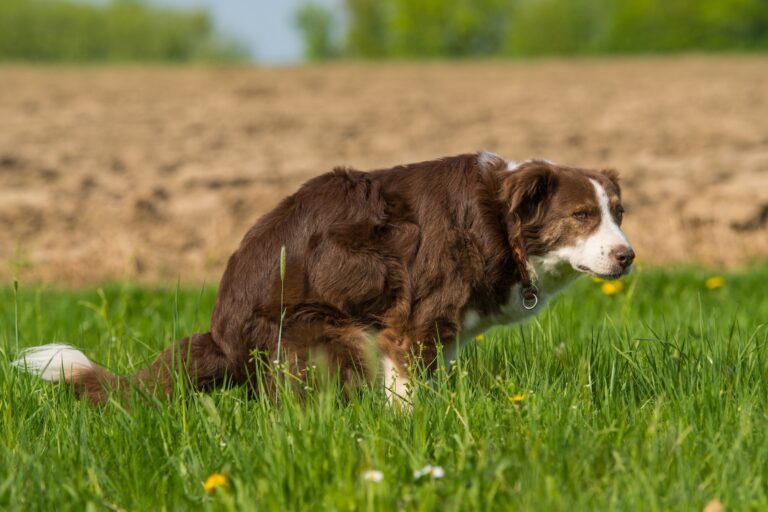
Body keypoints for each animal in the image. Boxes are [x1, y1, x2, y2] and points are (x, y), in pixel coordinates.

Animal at [15, 152, 632, 404]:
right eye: (582, 216)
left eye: (618, 213)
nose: (627, 256)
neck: (500, 222)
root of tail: (220, 338)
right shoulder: (412, 322)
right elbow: (407, 395)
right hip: (331, 332)